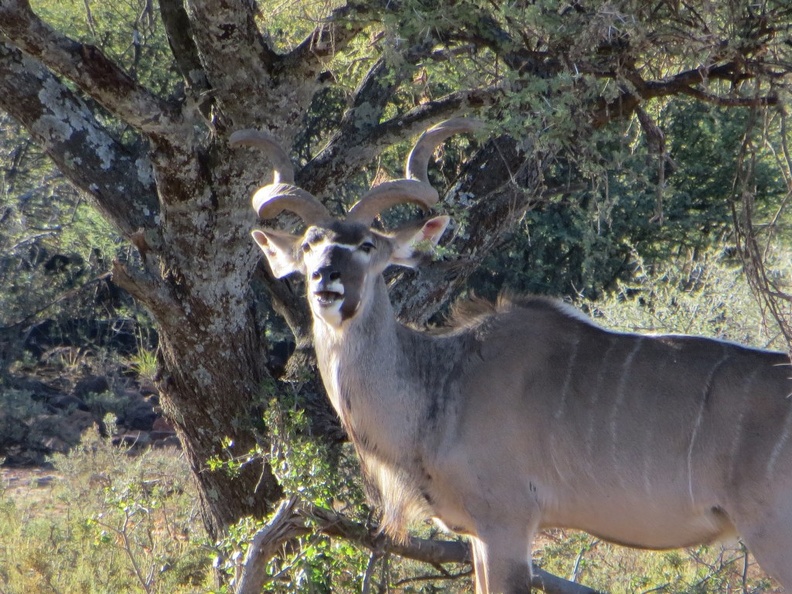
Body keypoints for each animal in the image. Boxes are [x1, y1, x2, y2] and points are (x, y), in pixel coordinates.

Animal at [232, 118, 792, 588]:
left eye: (368, 245)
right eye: (309, 244)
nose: (326, 281)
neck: (442, 381)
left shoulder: (507, 523)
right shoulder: (479, 535)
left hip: (771, 534)